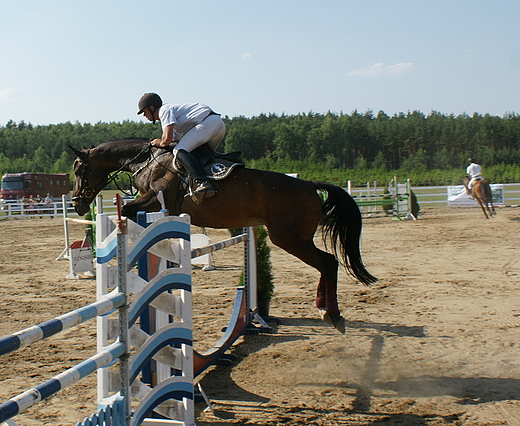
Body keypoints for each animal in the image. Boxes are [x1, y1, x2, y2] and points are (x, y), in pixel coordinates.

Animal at [70, 140, 378, 332]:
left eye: (79, 169)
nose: (77, 203)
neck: (148, 160)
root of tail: (310, 185)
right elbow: (131, 213)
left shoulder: (155, 199)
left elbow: (128, 210)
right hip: (292, 238)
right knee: (326, 264)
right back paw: (322, 309)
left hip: (290, 238)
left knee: (327, 262)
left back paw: (332, 314)